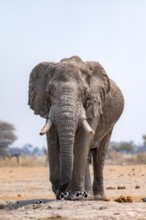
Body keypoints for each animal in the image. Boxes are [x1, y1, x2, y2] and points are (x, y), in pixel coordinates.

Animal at [28, 55, 124, 200]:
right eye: (49, 92)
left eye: (84, 92)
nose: (60, 193)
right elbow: (53, 141)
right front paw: (64, 193)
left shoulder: (94, 103)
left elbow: (82, 140)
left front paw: (74, 196)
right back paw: (86, 194)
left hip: (110, 124)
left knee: (99, 154)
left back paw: (97, 197)